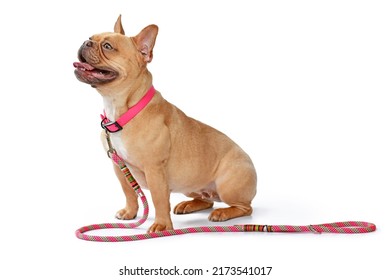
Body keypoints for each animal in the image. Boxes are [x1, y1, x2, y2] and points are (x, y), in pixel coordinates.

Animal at [74, 15, 256, 234]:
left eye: (108, 46)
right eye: (91, 37)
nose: (86, 42)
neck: (123, 111)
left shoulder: (155, 169)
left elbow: (158, 199)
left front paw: (161, 225)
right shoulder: (119, 167)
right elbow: (129, 193)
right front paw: (130, 212)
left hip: (228, 185)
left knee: (244, 207)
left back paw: (223, 213)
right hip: (190, 184)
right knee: (206, 199)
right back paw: (189, 205)